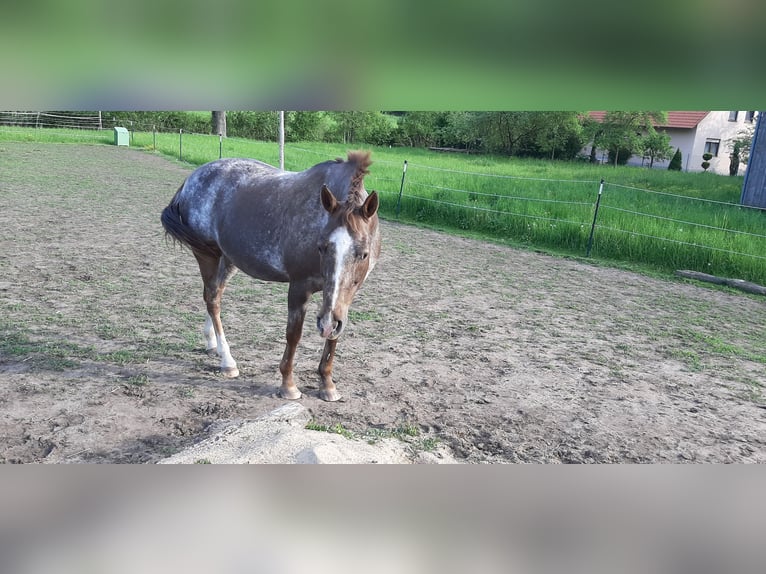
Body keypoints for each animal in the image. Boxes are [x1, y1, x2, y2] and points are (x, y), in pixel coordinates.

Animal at [160, 151, 382, 402]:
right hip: (206, 255)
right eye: (321, 247)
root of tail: (191, 179)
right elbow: (293, 335)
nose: (325, 324)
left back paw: (213, 344)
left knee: (212, 296)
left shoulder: (345, 297)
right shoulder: (299, 287)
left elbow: (335, 336)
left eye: (363, 254)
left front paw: (327, 384)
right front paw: (288, 385)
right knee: (213, 299)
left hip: (227, 259)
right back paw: (227, 360)